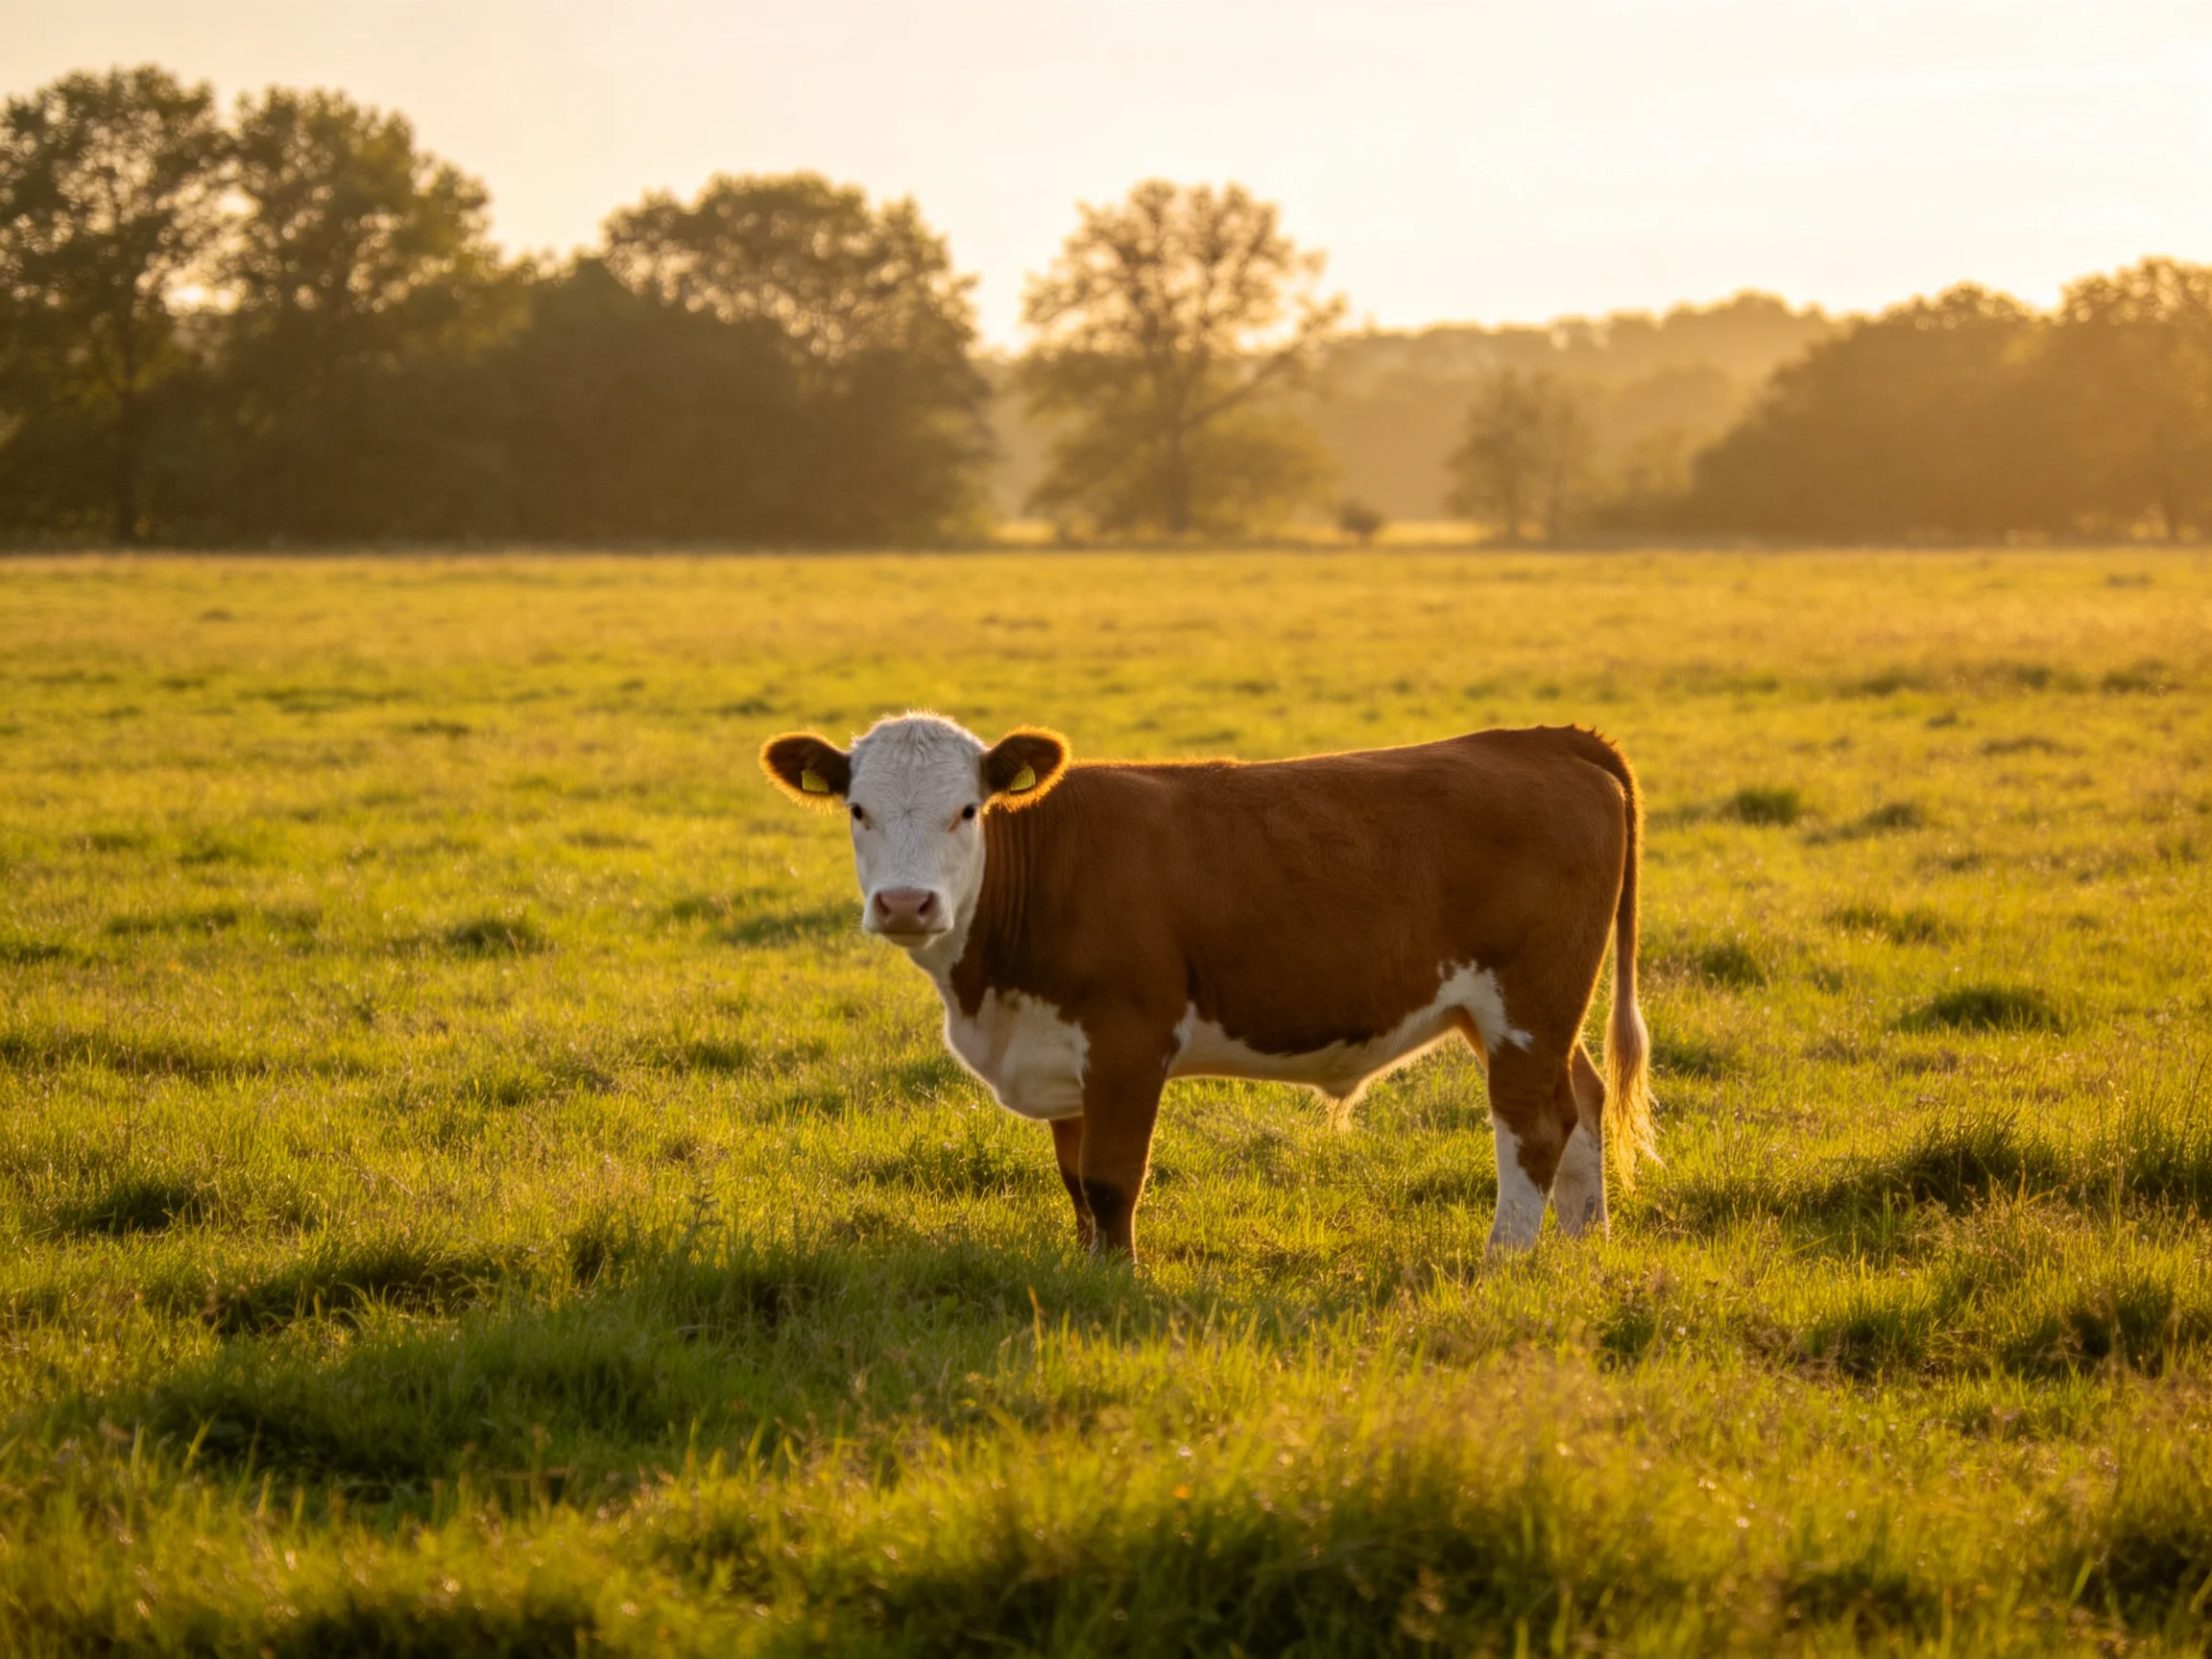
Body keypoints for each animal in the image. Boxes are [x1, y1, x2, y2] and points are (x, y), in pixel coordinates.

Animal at [760, 714, 1655, 1261]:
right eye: (858, 810)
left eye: (968, 810)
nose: (905, 903)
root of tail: (1543, 741)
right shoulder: (1060, 1050)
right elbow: (1075, 1179)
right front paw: (1081, 1266)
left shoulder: (1128, 1038)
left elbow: (1111, 1178)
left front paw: (1114, 1281)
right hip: (1516, 1010)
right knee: (1582, 1099)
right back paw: (1582, 1246)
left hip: (1529, 998)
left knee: (1533, 1122)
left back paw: (1501, 1260)